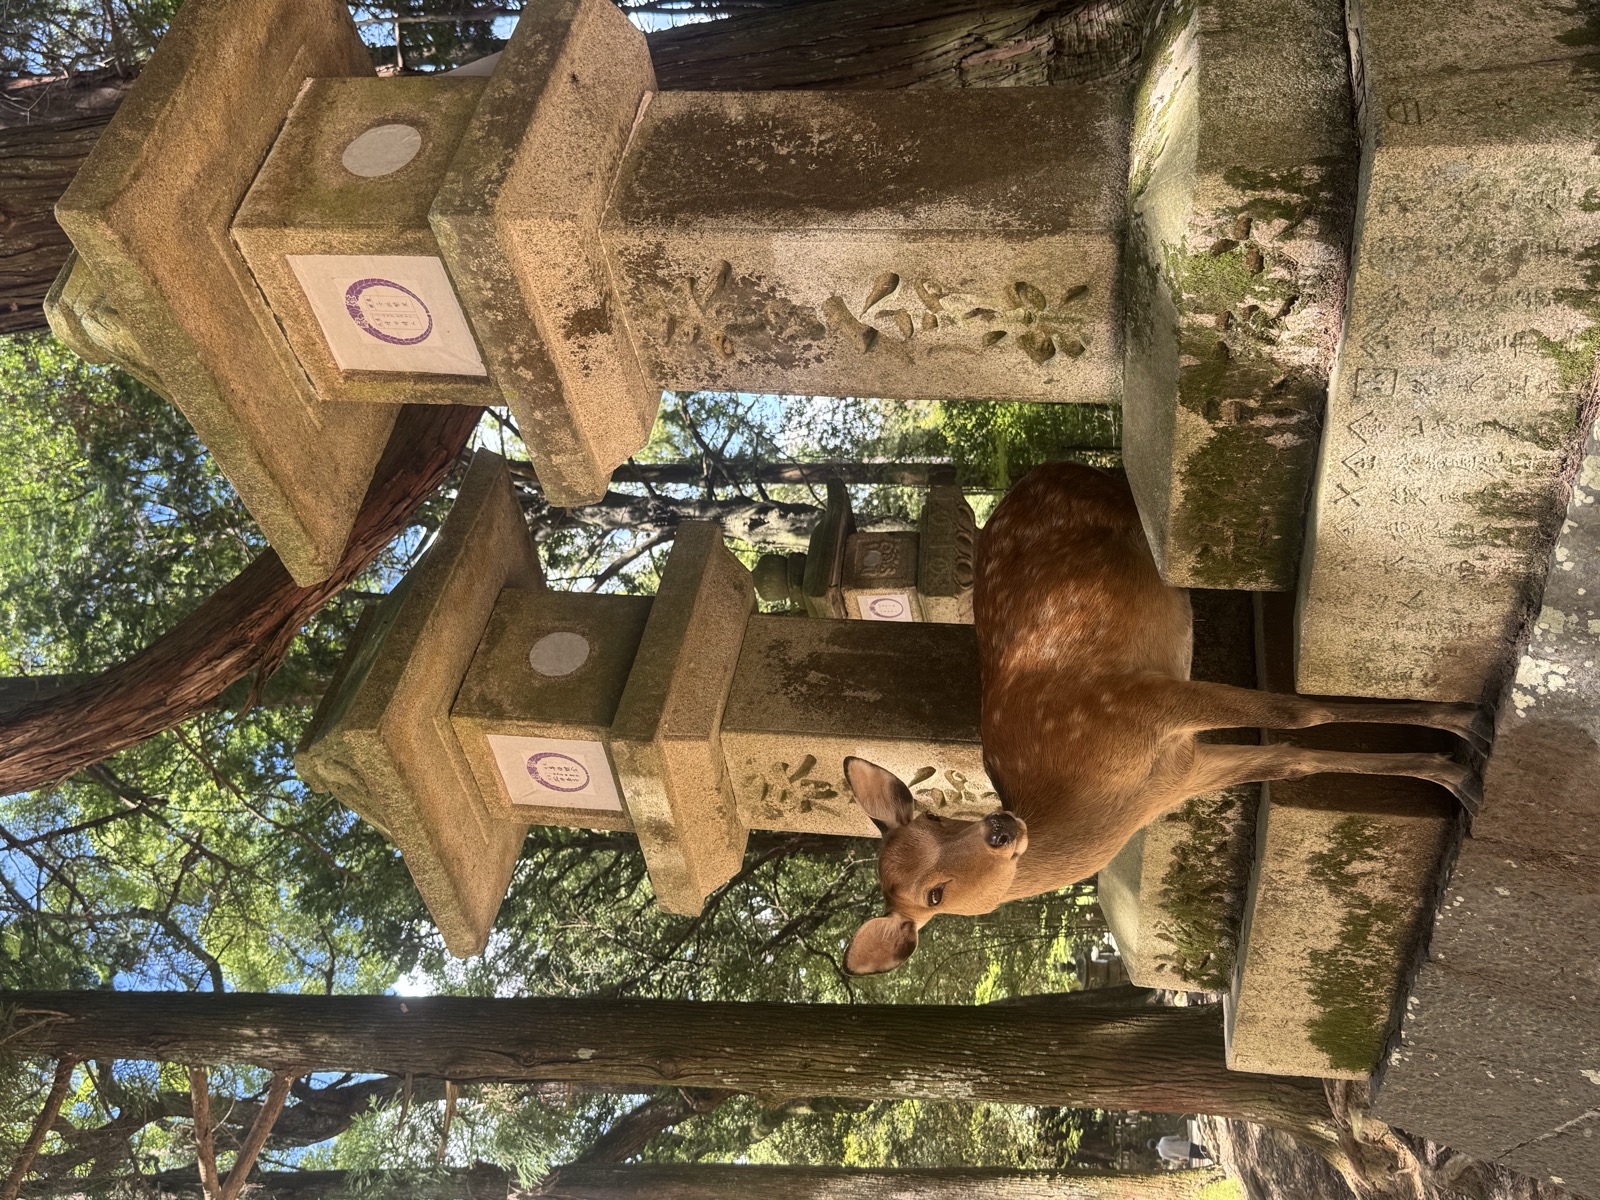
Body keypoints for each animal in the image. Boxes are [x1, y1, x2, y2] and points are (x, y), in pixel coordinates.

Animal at [841, 462, 1490, 976]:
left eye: (935, 819)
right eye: (933, 895)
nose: (1000, 829)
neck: (1114, 799)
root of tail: (1041, 470)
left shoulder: (1143, 697)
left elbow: (1296, 709)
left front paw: (1467, 723)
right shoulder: (1183, 765)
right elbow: (1292, 755)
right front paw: (1455, 768)